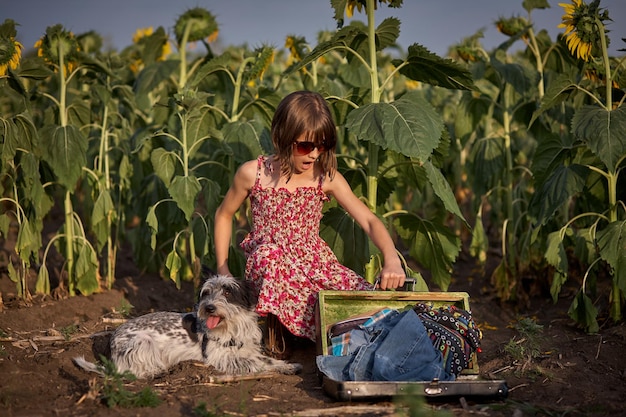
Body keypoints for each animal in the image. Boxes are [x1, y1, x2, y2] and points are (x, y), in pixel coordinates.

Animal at [72, 272, 302, 378]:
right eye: (206, 293)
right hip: (144, 343)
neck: (233, 327)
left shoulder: (248, 349)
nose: (208, 307)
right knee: (131, 371)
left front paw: (288, 365)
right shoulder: (223, 358)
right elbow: (257, 363)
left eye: (228, 292)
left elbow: (267, 359)